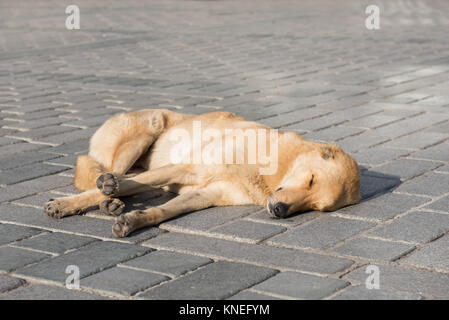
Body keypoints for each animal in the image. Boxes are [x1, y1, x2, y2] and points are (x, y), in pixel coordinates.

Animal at [43, 110, 358, 238]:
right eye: (311, 180)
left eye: (316, 207)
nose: (279, 210)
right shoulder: (184, 168)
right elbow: (112, 186)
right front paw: (63, 205)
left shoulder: (204, 193)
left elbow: (163, 211)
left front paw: (134, 221)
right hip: (144, 134)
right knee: (111, 176)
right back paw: (106, 193)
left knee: (129, 184)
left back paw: (113, 204)